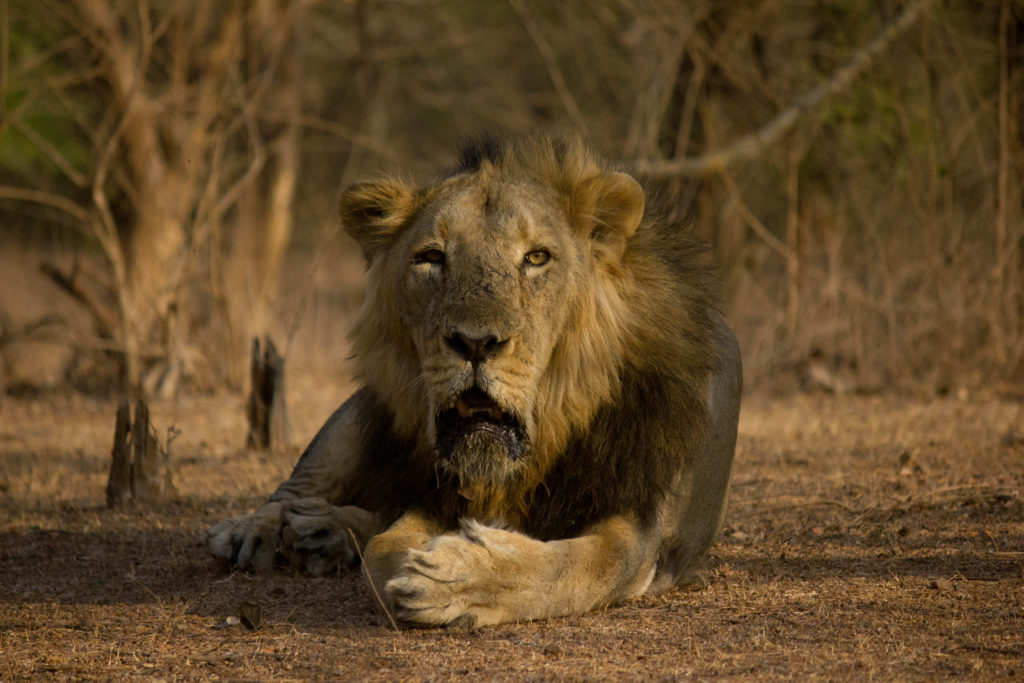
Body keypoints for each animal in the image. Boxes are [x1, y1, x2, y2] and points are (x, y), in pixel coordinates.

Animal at [207, 135, 741, 630]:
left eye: (537, 257)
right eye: (431, 257)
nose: (476, 342)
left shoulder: (642, 530)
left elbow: (577, 566)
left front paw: (455, 576)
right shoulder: (434, 493)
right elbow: (383, 550)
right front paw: (436, 569)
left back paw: (323, 533)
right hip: (359, 416)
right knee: (296, 489)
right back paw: (257, 532)